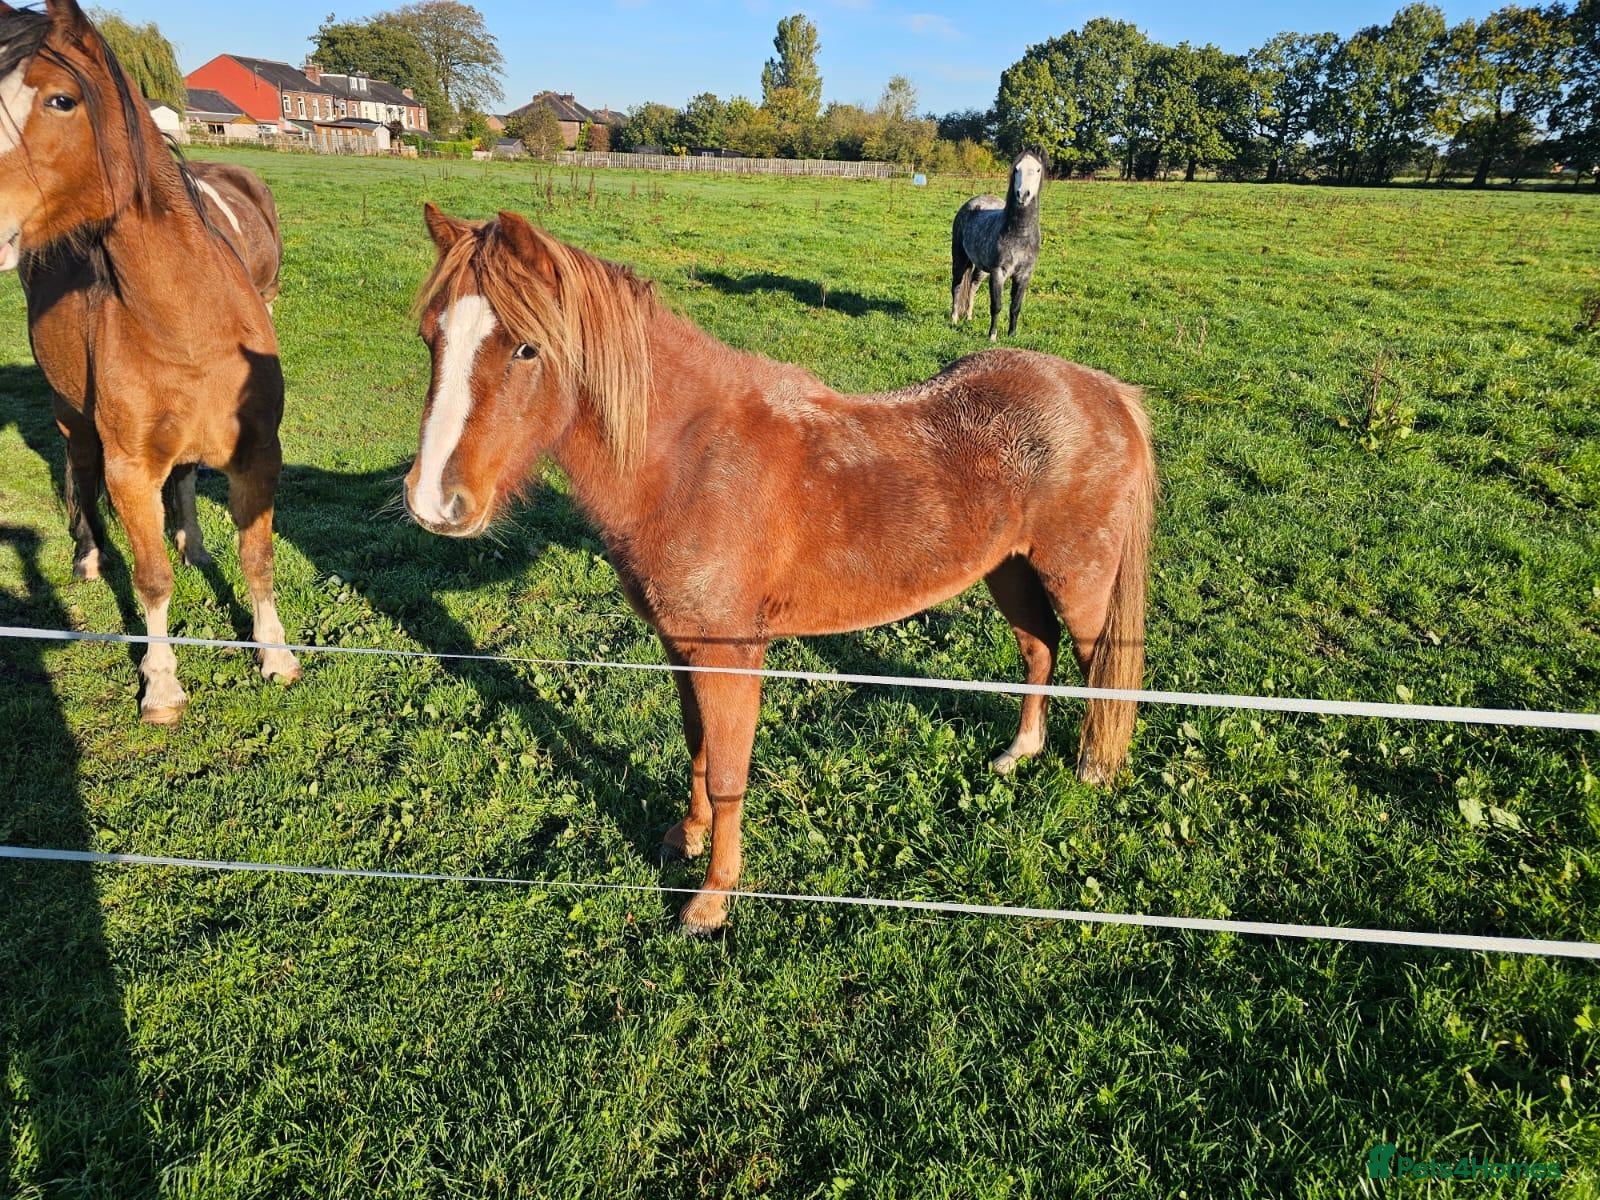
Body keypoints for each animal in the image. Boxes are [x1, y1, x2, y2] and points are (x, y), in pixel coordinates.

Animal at [0, 0, 300, 721]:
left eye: (60, 99)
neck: (188, 324)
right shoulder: (130, 470)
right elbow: (151, 577)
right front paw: (161, 684)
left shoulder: (259, 452)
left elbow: (257, 556)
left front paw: (276, 654)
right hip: (71, 415)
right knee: (79, 469)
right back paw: (87, 556)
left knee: (185, 479)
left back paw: (193, 541)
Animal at [404, 204, 1156, 934]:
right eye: (429, 337)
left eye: (526, 347)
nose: (434, 502)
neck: (689, 461)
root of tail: (1108, 393)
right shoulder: (682, 646)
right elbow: (699, 749)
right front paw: (687, 837)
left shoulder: (732, 655)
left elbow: (729, 772)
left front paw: (711, 902)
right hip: (1010, 569)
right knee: (1039, 648)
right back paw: (1018, 752)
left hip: (1077, 579)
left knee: (1099, 666)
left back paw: (1094, 768)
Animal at [951, 147, 1045, 341]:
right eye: (1016, 169)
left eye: (1038, 169)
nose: (1023, 194)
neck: (1019, 234)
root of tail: (972, 202)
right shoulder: (998, 273)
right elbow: (997, 305)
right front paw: (992, 336)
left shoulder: (1024, 275)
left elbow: (1015, 307)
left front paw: (1012, 335)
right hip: (960, 257)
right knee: (957, 285)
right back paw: (954, 319)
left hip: (981, 267)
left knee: (972, 286)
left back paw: (969, 317)